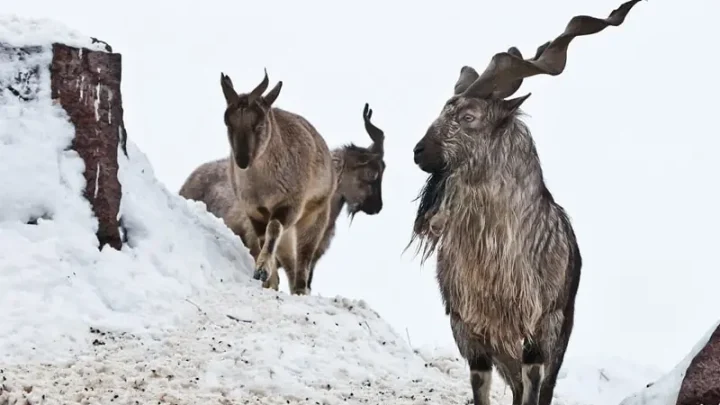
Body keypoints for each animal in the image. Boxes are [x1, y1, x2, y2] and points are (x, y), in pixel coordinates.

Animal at [408, 1, 643, 404]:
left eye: (468, 116)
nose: (419, 151)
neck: (497, 261)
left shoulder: (541, 326)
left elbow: (535, 384)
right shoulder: (470, 331)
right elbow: (482, 385)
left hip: (558, 331)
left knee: (540, 386)